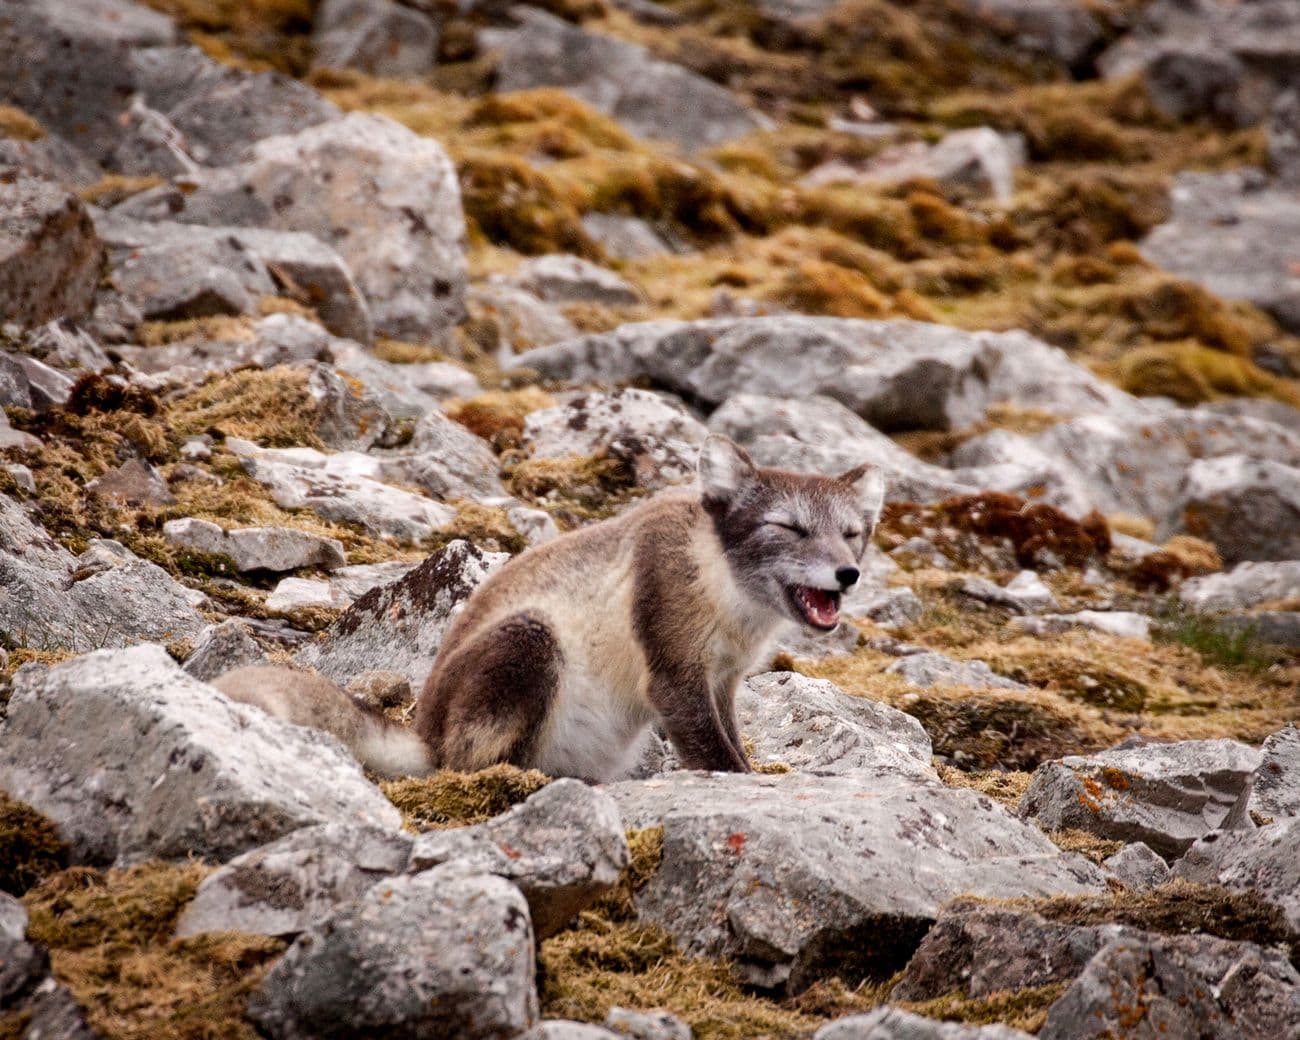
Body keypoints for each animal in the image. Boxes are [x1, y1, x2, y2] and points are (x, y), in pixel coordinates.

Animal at [213, 431, 883, 780]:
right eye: (789, 527)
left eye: (852, 533)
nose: (847, 574)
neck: (724, 591)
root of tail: (423, 734)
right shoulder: (674, 674)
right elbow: (719, 758)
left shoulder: (722, 680)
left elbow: (735, 745)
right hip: (530, 640)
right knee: (469, 765)